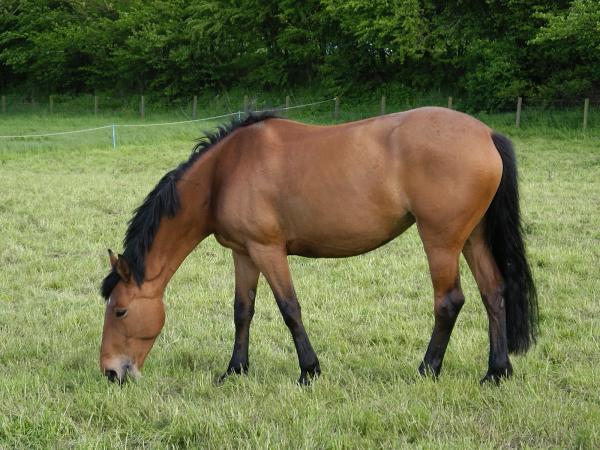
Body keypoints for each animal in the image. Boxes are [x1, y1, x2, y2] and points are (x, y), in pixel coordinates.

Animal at [99, 108, 540, 386]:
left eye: (120, 310)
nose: (111, 372)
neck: (225, 172)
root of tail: (486, 134)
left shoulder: (268, 250)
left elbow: (289, 309)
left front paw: (309, 371)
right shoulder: (244, 253)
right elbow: (243, 311)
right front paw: (235, 370)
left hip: (441, 240)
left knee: (449, 301)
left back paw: (426, 370)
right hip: (473, 237)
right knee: (493, 292)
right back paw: (496, 372)